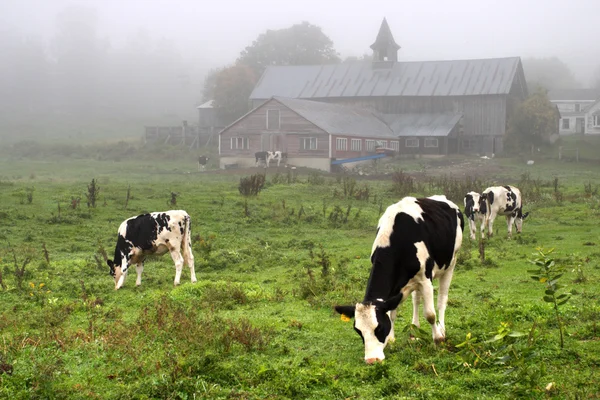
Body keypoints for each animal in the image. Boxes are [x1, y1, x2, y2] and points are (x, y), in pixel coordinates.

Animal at [332, 195, 464, 364]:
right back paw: (415, 330)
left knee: (442, 300)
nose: (371, 360)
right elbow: (392, 312)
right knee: (416, 299)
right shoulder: (398, 288)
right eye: (358, 330)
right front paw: (391, 340)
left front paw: (438, 339)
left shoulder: (425, 278)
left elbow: (430, 314)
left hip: (451, 263)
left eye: (379, 328)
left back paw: (442, 329)